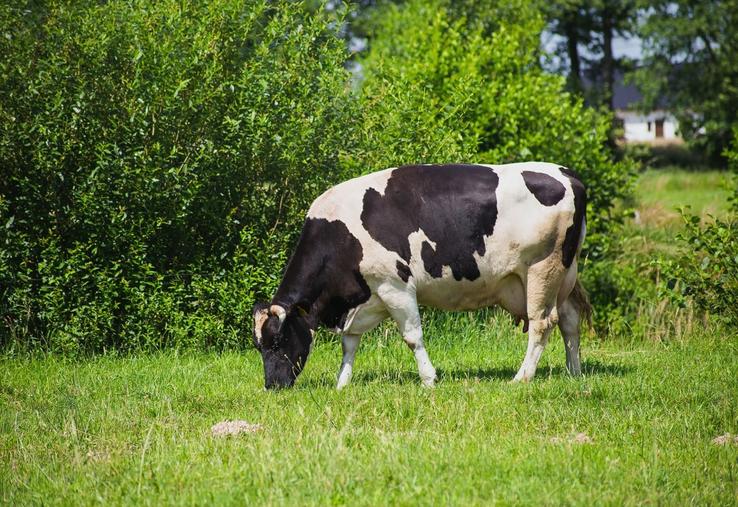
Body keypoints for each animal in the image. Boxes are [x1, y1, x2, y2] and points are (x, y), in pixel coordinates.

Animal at [252, 162, 591, 389]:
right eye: (259, 346)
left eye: (278, 340)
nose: (272, 386)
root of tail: (567, 174)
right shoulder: (362, 297)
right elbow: (350, 344)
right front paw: (341, 384)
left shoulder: (395, 286)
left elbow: (412, 336)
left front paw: (429, 379)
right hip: (565, 275)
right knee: (570, 320)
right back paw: (574, 372)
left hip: (542, 269)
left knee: (543, 323)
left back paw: (521, 377)